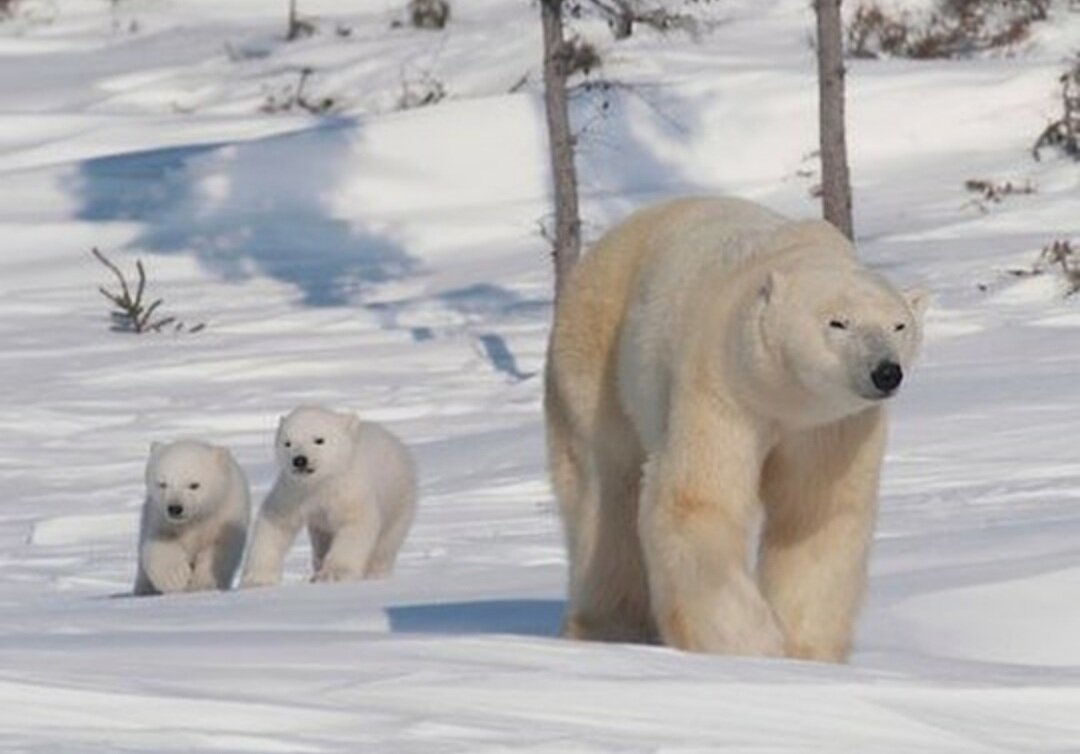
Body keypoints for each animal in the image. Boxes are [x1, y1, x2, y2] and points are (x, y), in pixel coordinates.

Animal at [548, 196, 928, 661]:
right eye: (838, 322)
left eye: (899, 325)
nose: (886, 371)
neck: (784, 398)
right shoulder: (721, 385)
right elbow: (699, 500)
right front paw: (755, 647)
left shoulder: (834, 427)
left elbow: (815, 515)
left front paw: (807, 652)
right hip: (597, 360)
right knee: (606, 495)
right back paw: (606, 628)